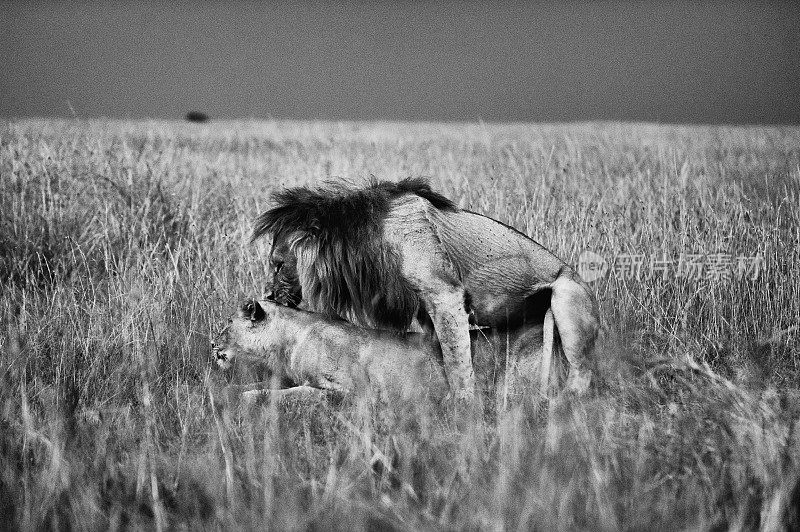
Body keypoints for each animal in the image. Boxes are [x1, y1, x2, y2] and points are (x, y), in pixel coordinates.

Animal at [211, 302, 552, 410]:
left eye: (227, 322)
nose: (212, 345)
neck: (286, 342)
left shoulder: (348, 392)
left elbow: (288, 395)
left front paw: (246, 398)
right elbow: (264, 387)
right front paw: (226, 391)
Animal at [253, 178, 596, 400]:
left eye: (278, 264)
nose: (269, 295)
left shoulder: (444, 295)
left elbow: (458, 362)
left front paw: (463, 408)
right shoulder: (424, 310)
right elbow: (440, 357)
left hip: (566, 297)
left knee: (582, 374)